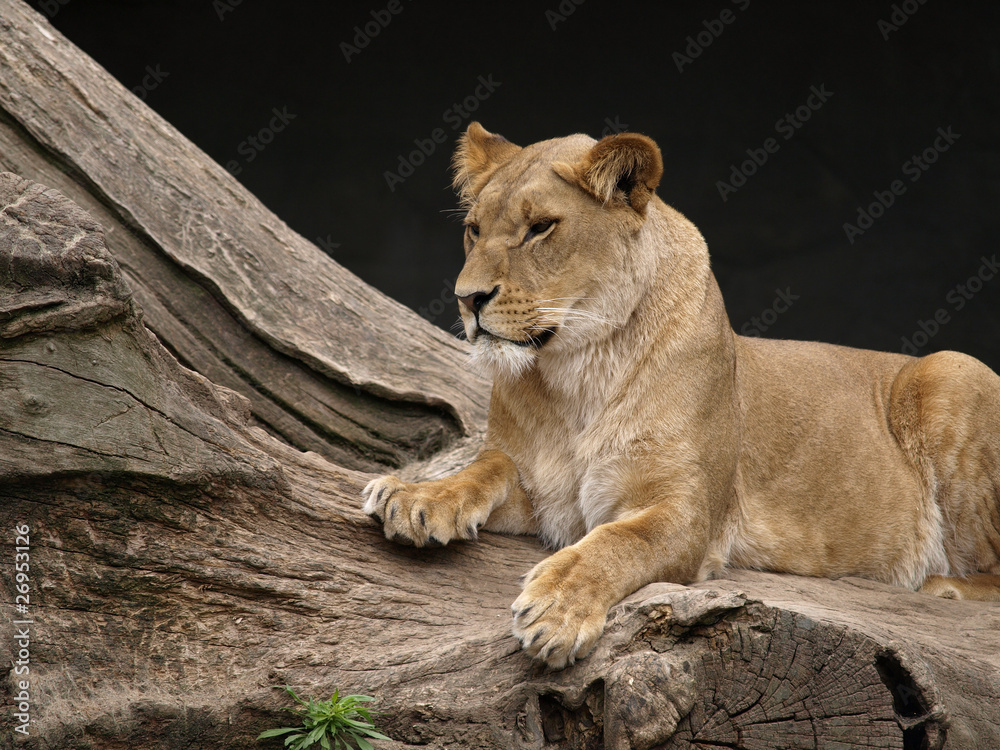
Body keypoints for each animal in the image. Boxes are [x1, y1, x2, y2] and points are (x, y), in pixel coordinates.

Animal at [362, 122, 1000, 669]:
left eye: (540, 227)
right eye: (473, 229)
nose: (467, 299)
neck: (576, 371)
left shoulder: (686, 511)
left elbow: (619, 541)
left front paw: (556, 608)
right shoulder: (537, 485)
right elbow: (482, 468)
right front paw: (416, 497)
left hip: (951, 370)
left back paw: (942, 587)